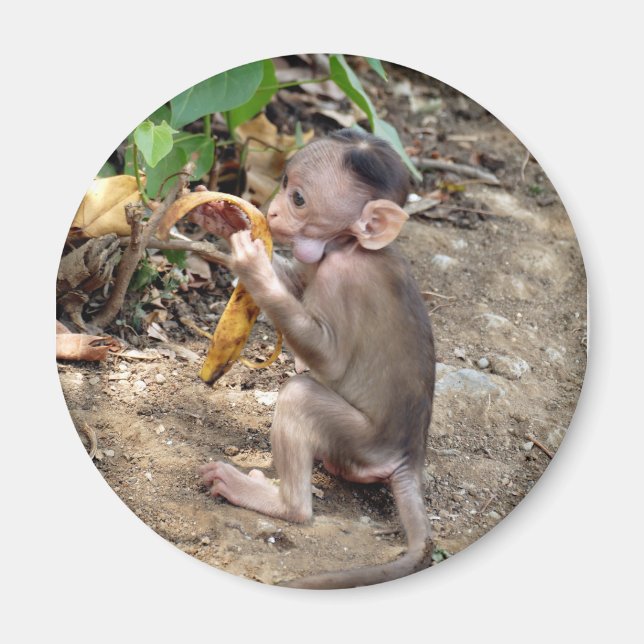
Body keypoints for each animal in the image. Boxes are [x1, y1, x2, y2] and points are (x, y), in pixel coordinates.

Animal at [199, 129, 435, 589]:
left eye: (299, 198)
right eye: (284, 180)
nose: (271, 210)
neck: (351, 246)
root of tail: (408, 457)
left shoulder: (342, 278)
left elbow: (330, 361)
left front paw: (253, 266)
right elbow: (297, 281)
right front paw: (227, 220)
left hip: (361, 441)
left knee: (300, 397)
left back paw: (279, 502)